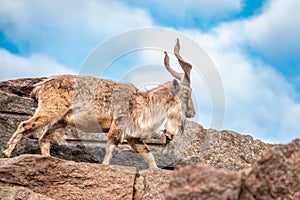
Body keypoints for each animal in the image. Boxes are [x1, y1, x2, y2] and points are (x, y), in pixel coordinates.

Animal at [1, 38, 195, 167]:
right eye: (186, 94)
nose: (192, 113)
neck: (144, 102)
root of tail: (41, 86)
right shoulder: (117, 127)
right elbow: (110, 149)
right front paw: (105, 167)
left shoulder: (133, 136)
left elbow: (148, 156)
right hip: (50, 109)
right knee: (25, 125)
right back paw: (7, 153)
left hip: (60, 120)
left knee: (43, 138)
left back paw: (48, 159)